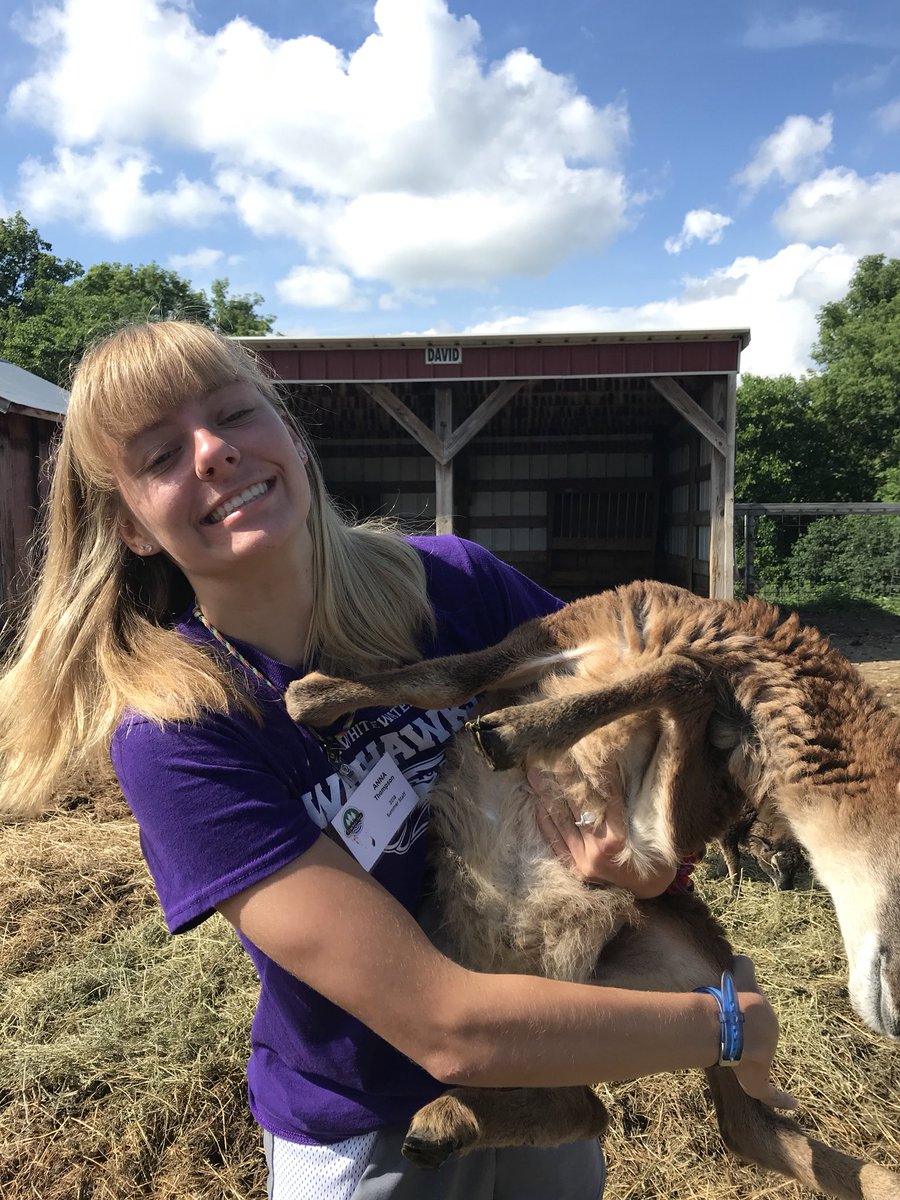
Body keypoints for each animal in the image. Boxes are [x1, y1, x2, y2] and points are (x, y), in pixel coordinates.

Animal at [287, 580, 900, 1200]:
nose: (896, 1023)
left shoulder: (660, 835)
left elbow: (685, 679)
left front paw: (513, 732)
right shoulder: (559, 631)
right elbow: (451, 676)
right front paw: (312, 699)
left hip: (623, 1003)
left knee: (611, 1109)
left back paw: (446, 1123)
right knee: (601, 1105)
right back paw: (446, 1124)